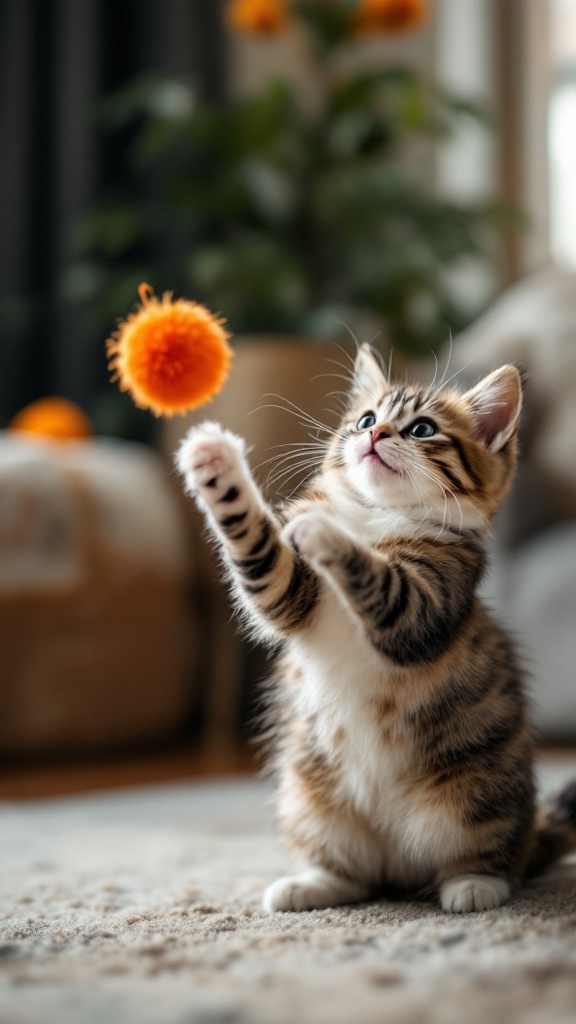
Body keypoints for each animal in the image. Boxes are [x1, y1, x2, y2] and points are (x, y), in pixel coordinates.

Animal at [175, 348, 573, 917]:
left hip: (475, 792)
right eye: (365, 419)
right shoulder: (289, 595)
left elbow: (387, 585)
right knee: (357, 875)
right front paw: (215, 465)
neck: (378, 516)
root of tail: (398, 861)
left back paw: (475, 885)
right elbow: (263, 559)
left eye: (423, 428)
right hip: (309, 797)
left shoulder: (430, 600)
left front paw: (324, 531)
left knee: (488, 853)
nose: (376, 434)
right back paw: (312, 884)